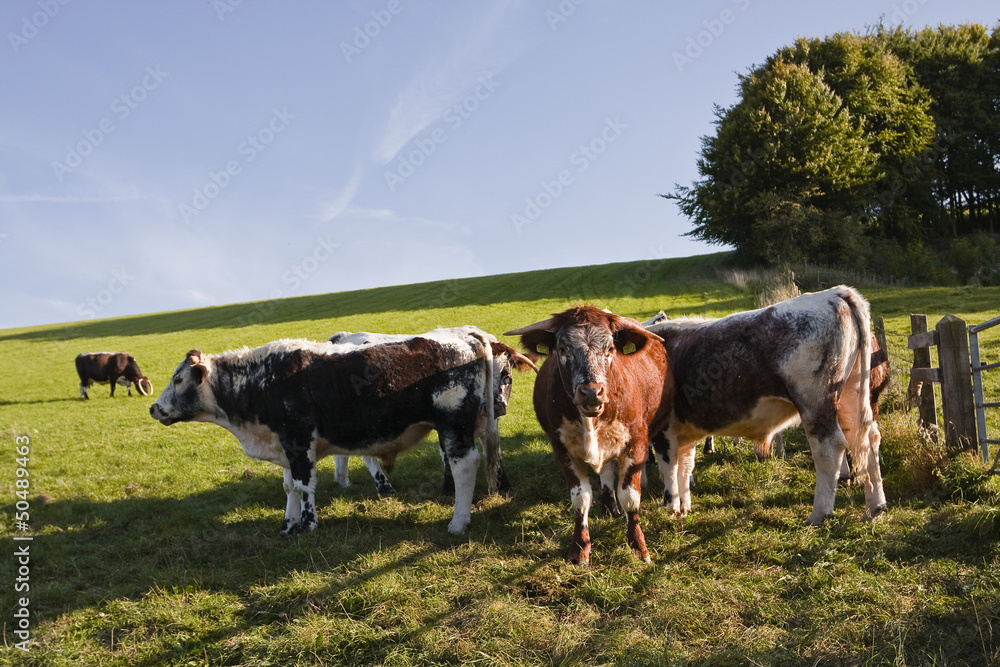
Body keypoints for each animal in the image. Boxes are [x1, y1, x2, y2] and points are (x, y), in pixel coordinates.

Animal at [149, 328, 502, 535]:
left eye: (178, 379)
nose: (154, 408)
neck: (260, 381)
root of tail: (466, 336)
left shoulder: (299, 439)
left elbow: (304, 484)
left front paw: (307, 524)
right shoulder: (286, 445)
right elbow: (289, 486)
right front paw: (288, 523)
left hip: (453, 425)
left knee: (464, 465)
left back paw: (458, 522)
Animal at [326, 330, 536, 496]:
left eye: (507, 375)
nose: (497, 407)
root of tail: (343, 336)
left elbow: (495, 451)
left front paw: (503, 486)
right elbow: (447, 455)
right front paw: (449, 489)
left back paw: (343, 481)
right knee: (367, 455)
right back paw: (384, 487)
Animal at [506, 306, 673, 564]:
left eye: (610, 349)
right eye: (563, 349)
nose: (591, 392)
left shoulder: (635, 445)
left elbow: (630, 497)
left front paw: (638, 546)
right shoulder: (563, 451)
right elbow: (581, 498)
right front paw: (580, 548)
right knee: (606, 472)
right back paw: (608, 508)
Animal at [643, 285, 887, 526]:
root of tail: (836, 293)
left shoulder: (664, 431)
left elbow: (669, 469)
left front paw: (672, 507)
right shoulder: (683, 431)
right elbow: (684, 468)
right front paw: (684, 508)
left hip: (816, 403)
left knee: (829, 448)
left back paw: (819, 514)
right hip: (852, 395)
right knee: (867, 439)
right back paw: (875, 507)